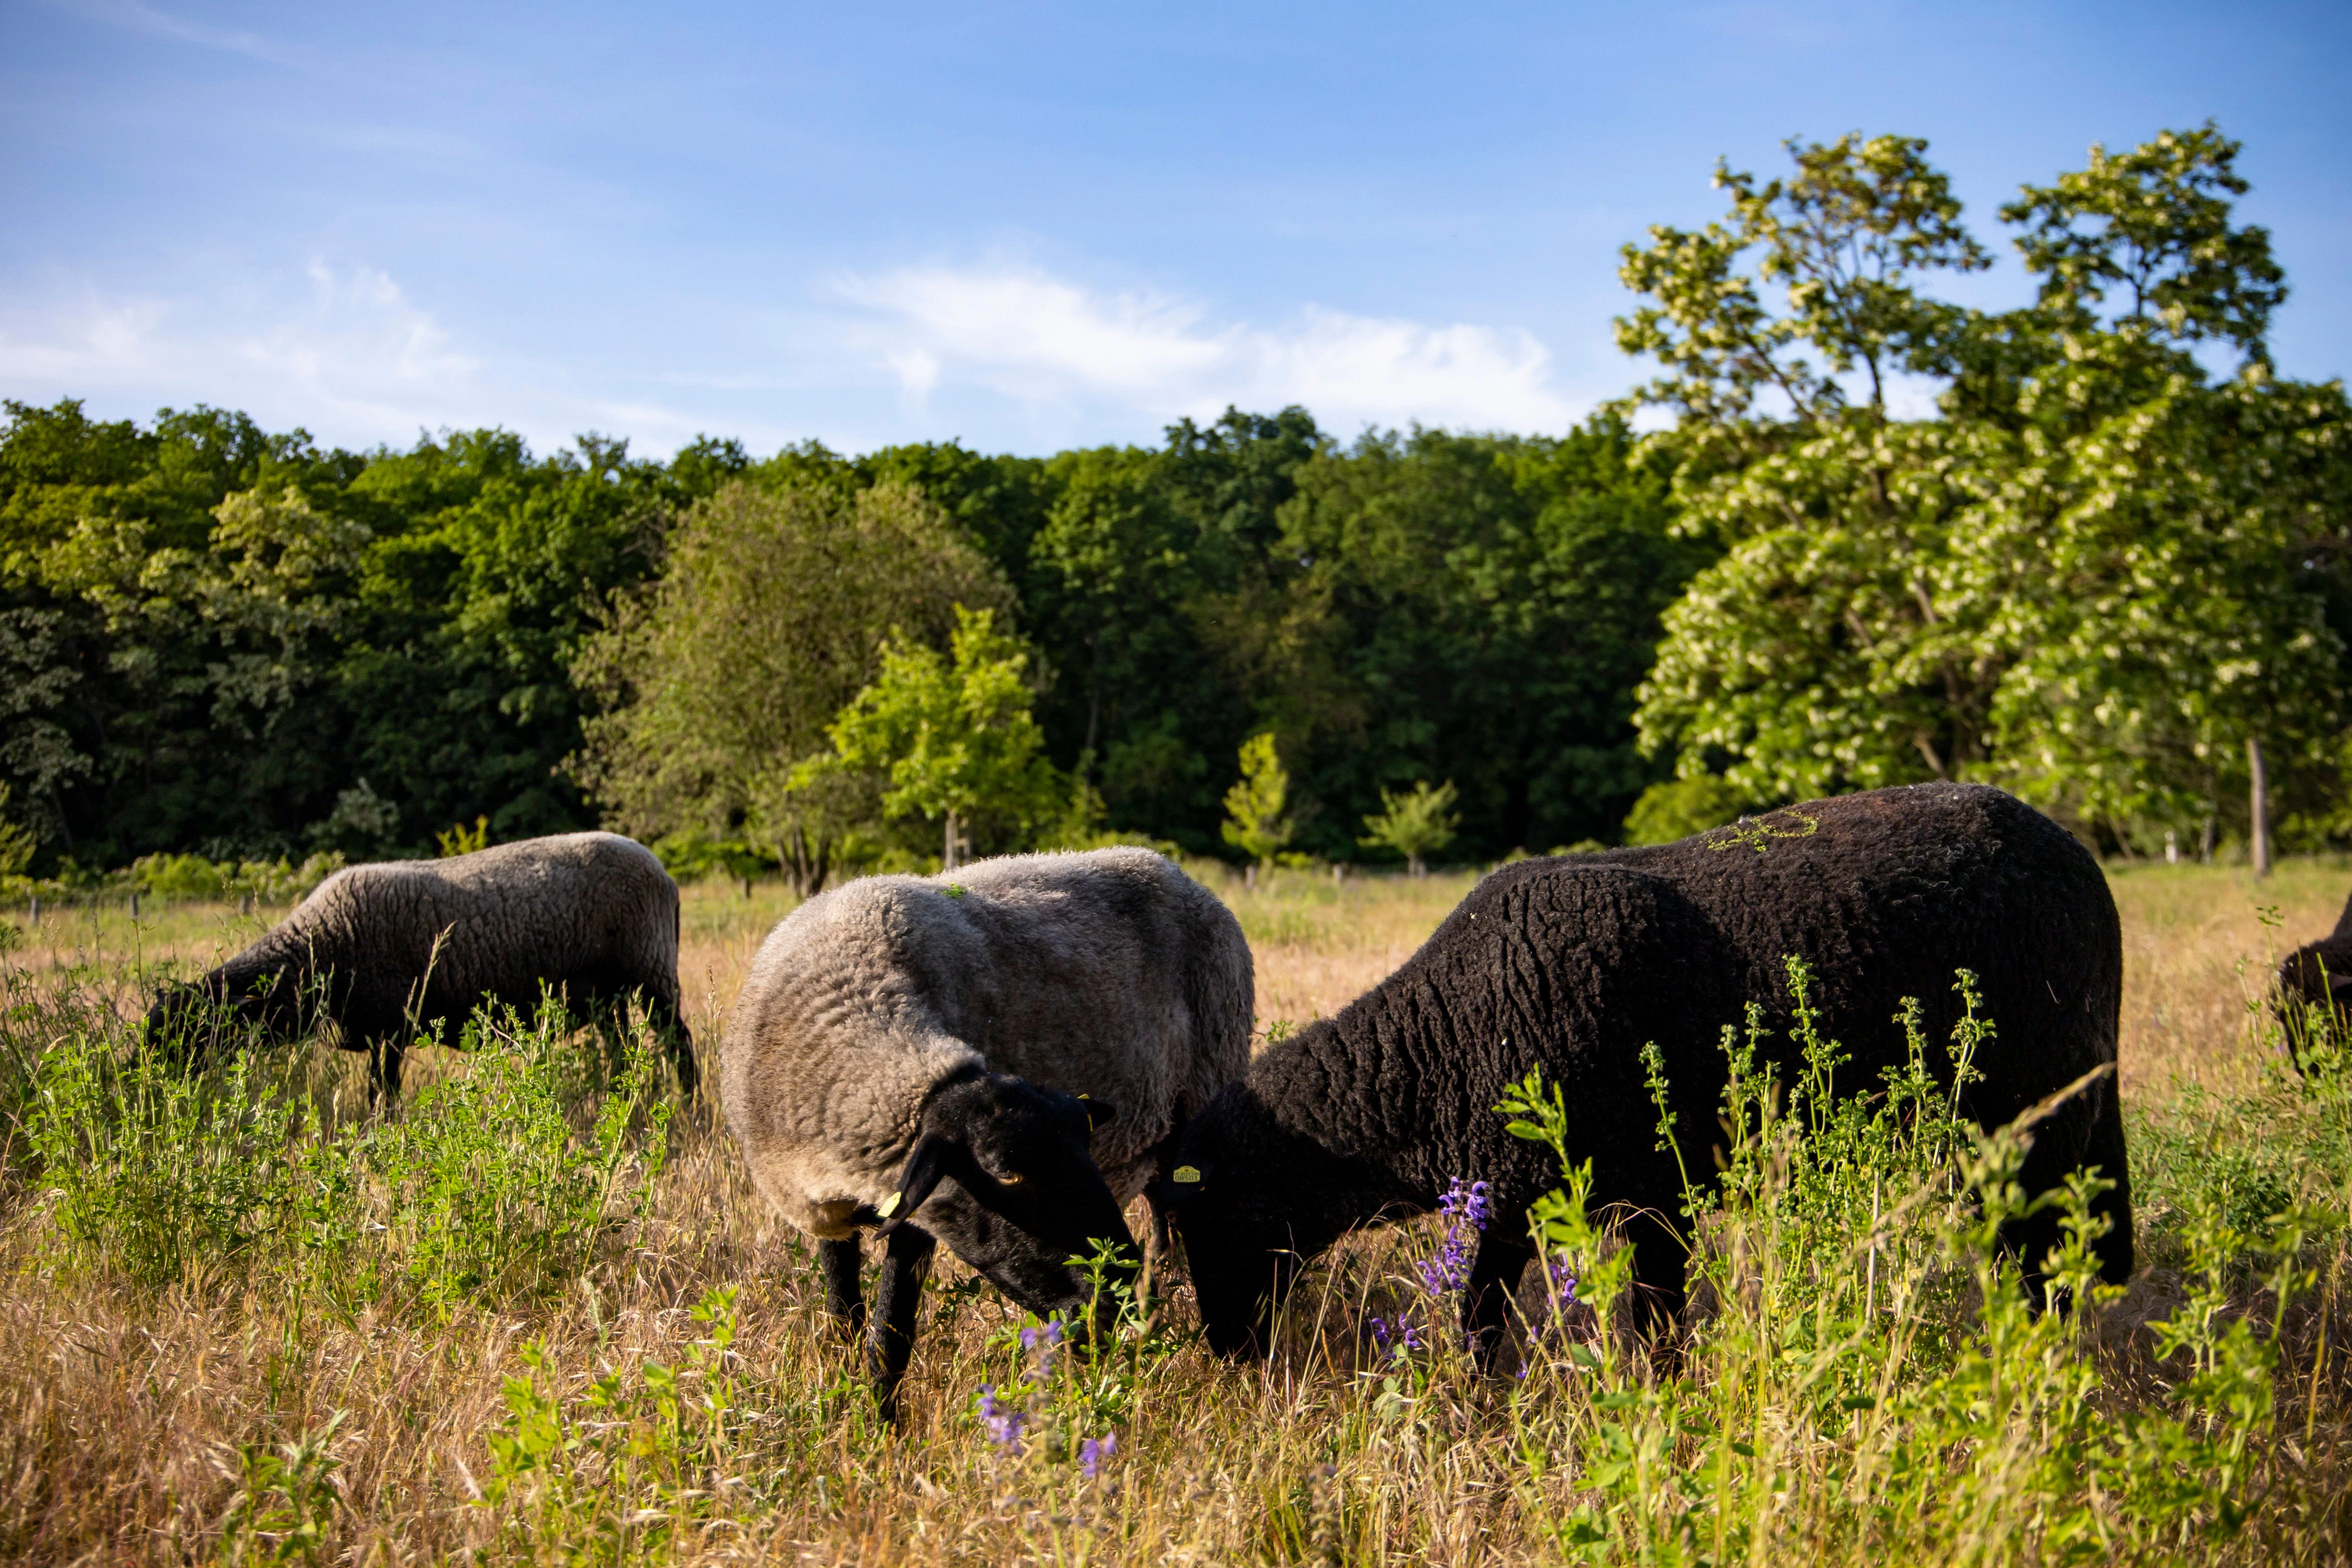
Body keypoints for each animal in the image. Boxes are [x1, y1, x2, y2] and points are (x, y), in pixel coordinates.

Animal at [144, 831, 693, 1099]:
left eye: (191, 1032)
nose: (145, 1088)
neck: (318, 953)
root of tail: (664, 873)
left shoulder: (388, 1031)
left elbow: (380, 1098)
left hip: (652, 973)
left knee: (679, 1044)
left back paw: (692, 1108)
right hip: (605, 995)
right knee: (622, 1051)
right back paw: (620, 1102)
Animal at [721, 845, 1253, 1413]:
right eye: (1005, 1174)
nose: (1111, 1288)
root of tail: (1173, 868)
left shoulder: (914, 1216)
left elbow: (890, 1338)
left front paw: (883, 1426)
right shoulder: (829, 1212)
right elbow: (846, 1318)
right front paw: (847, 1407)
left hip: (1205, 1091)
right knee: (1164, 1237)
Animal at [1154, 782, 2134, 1363]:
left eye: (1213, 1216)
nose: (1227, 1355)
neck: (1444, 1046)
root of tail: (2081, 860)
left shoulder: (1646, 1186)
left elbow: (1627, 1321)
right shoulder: (1545, 1201)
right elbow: (1506, 1318)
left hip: (2046, 1117)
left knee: (2047, 1264)